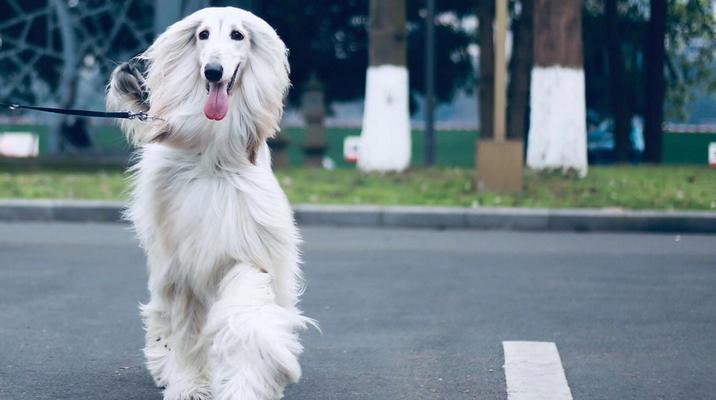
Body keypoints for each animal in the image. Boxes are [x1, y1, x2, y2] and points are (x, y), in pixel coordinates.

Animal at [105, 7, 314, 400]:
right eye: (202, 34)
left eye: (237, 35)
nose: (213, 71)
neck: (214, 156)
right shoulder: (185, 260)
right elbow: (188, 331)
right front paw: (190, 385)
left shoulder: (243, 245)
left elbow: (248, 314)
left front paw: (252, 379)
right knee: (161, 308)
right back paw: (162, 360)